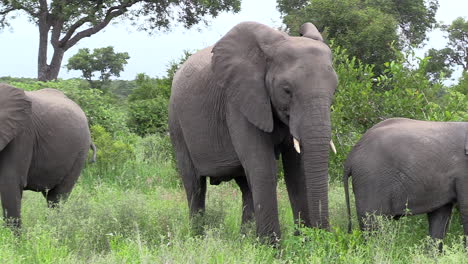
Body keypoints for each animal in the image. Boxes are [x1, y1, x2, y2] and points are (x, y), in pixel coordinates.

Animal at [170, 21, 338, 242]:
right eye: (286, 90)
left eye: (334, 90)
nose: (323, 235)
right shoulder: (238, 101)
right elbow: (263, 167)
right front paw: (273, 247)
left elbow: (296, 172)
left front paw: (303, 242)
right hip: (176, 124)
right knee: (195, 186)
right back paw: (197, 239)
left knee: (245, 186)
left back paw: (245, 240)